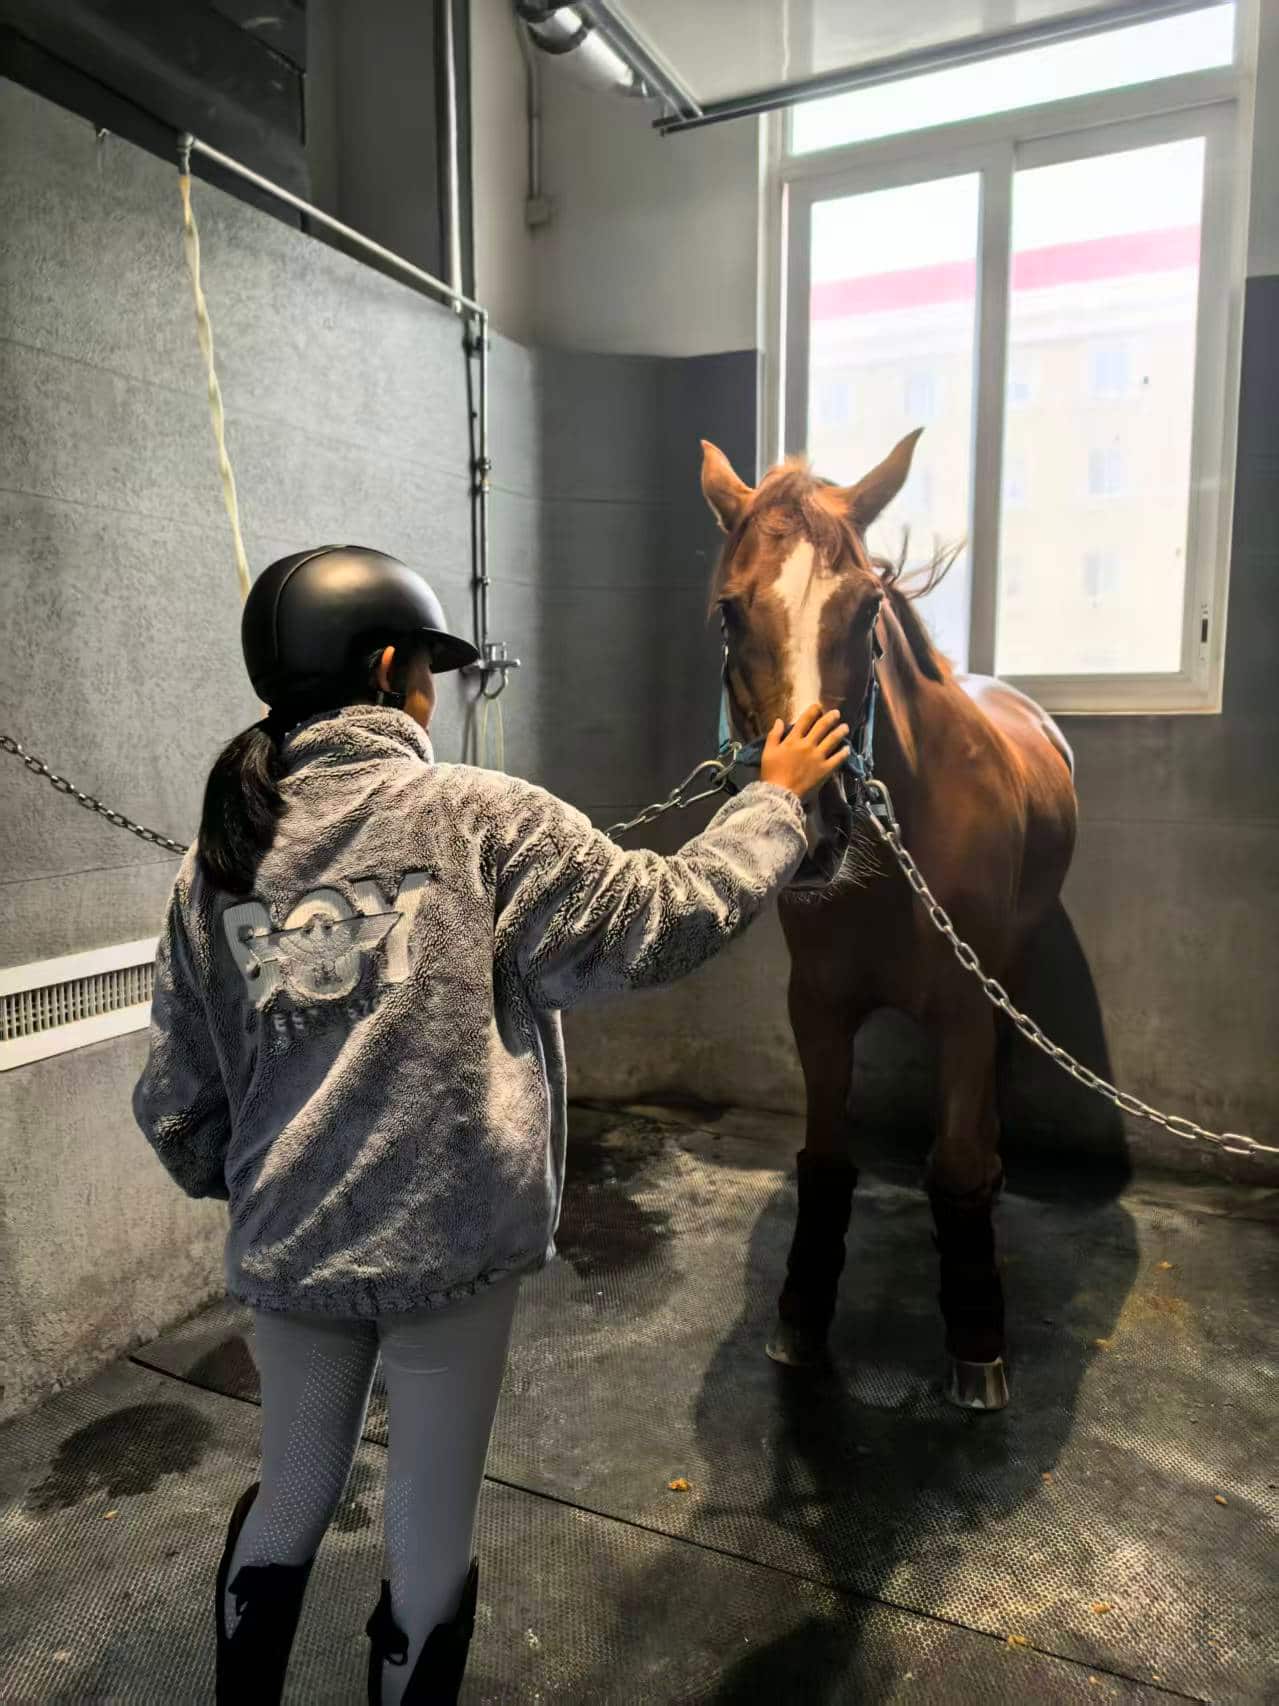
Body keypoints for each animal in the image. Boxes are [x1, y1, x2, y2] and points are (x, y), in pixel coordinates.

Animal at [700, 428, 1078, 1410]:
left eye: (867, 605)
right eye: (728, 614)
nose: (813, 814)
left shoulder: (966, 1007)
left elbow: (955, 1166)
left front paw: (977, 1342)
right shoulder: (818, 1007)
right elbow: (826, 1160)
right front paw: (799, 1317)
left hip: (1009, 977)